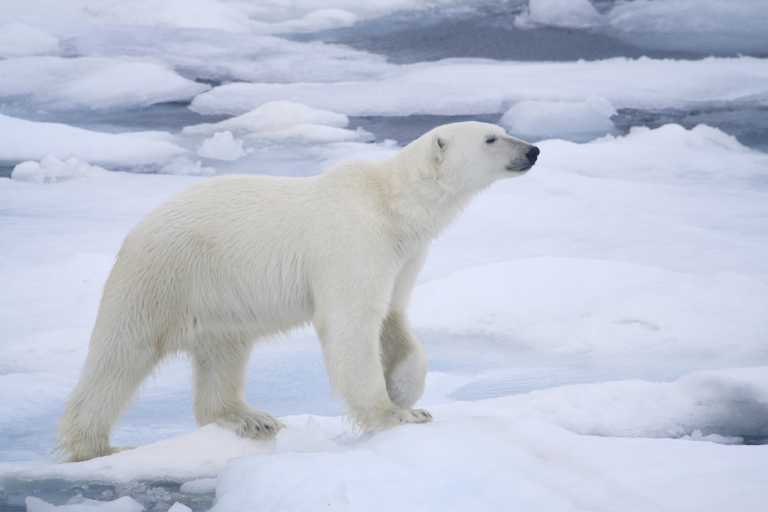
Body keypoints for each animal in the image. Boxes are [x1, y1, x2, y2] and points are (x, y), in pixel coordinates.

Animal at [58, 122, 540, 462]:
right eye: (492, 137)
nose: (533, 150)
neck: (392, 204)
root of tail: (137, 230)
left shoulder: (402, 254)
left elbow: (393, 317)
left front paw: (407, 393)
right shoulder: (353, 240)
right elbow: (351, 323)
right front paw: (393, 415)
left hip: (218, 297)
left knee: (224, 353)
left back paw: (249, 418)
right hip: (164, 277)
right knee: (121, 354)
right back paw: (96, 446)